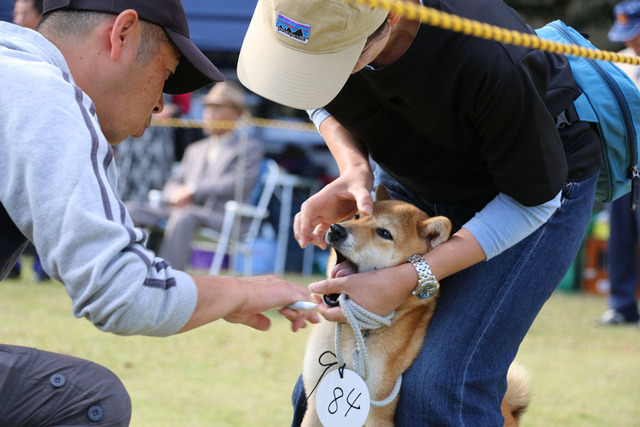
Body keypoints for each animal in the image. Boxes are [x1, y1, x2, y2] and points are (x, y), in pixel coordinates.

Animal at [302, 186, 528, 427]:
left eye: (385, 233)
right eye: (356, 216)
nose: (336, 229)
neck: (357, 332)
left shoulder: (377, 412)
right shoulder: (316, 400)